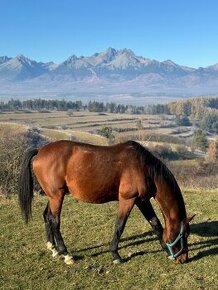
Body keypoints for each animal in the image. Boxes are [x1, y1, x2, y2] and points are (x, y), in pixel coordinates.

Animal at [18, 140, 194, 266]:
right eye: (184, 234)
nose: (183, 259)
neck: (145, 167)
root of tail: (40, 151)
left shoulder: (142, 200)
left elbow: (156, 224)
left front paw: (166, 250)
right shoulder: (127, 200)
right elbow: (119, 226)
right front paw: (116, 255)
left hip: (53, 196)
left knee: (47, 216)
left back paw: (53, 248)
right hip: (56, 196)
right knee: (54, 221)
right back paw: (66, 254)